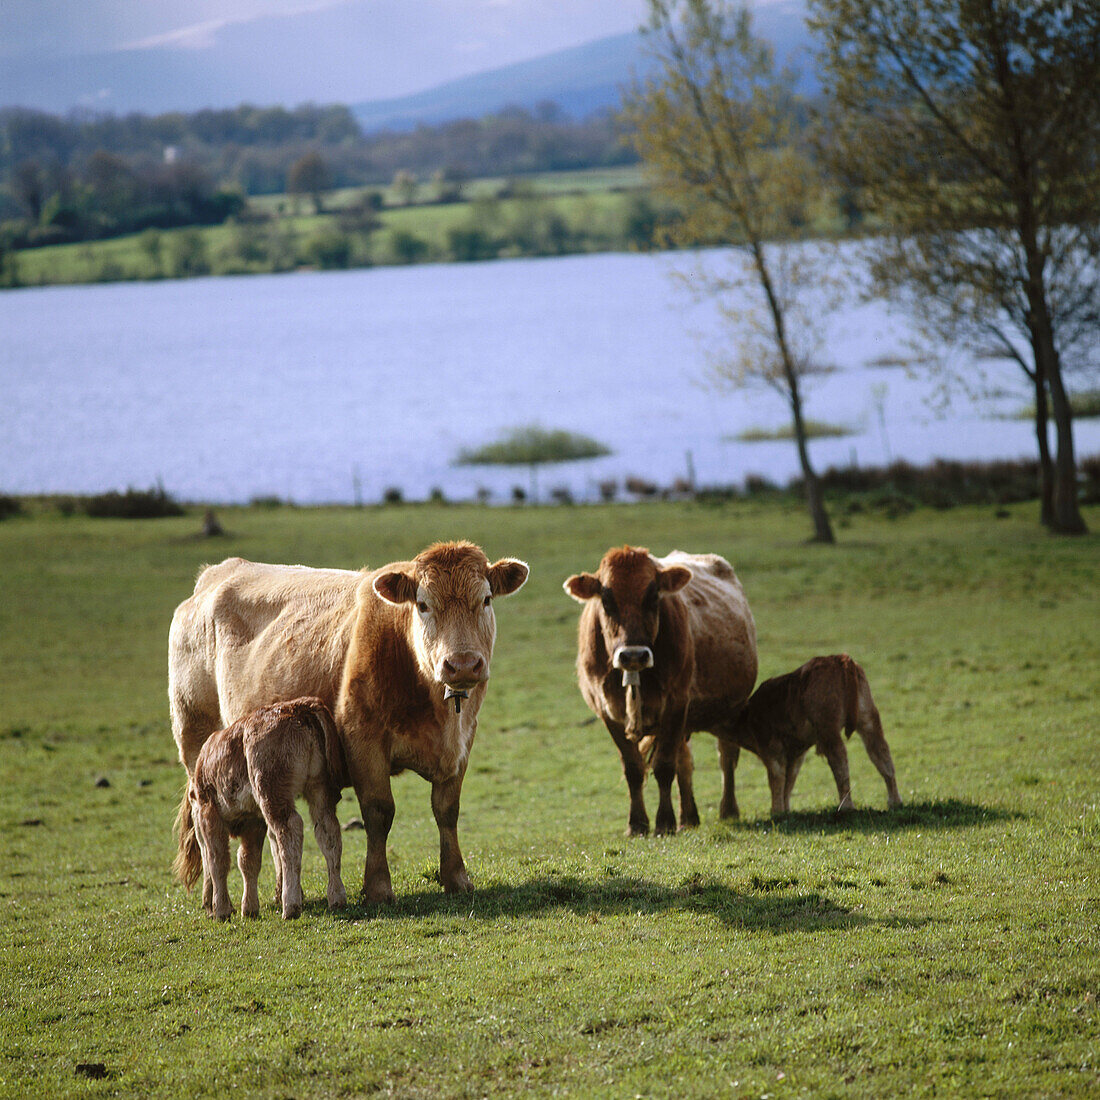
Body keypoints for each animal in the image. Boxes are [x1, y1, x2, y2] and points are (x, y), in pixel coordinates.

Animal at [174, 695, 343, 919]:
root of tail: (298, 705)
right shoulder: (253, 820)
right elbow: (248, 861)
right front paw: (249, 908)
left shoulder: (209, 812)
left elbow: (217, 858)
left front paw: (221, 910)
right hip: (320, 788)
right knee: (328, 831)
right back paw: (336, 897)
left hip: (271, 791)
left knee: (290, 831)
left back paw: (290, 906)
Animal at [567, 545, 756, 836]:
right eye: (606, 600)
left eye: (653, 596)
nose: (633, 655)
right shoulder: (607, 712)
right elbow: (634, 768)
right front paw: (637, 824)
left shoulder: (677, 702)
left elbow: (665, 766)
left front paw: (664, 822)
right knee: (685, 762)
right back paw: (689, 817)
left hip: (730, 710)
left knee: (726, 756)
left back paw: (728, 810)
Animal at [730, 651, 902, 818]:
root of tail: (840, 659)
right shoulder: (796, 753)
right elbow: (789, 779)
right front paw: (785, 810)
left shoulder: (771, 747)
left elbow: (777, 776)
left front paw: (777, 811)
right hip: (869, 721)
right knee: (882, 757)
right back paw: (894, 802)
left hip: (830, 730)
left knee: (840, 763)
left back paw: (846, 807)